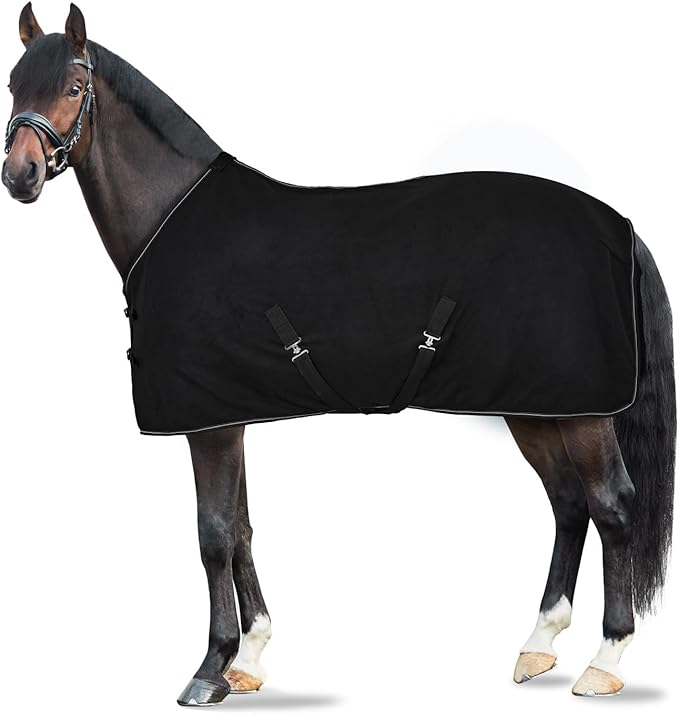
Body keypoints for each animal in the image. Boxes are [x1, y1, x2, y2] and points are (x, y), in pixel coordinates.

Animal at [3, 3, 675, 706]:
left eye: (73, 88)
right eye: (14, 86)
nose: (19, 175)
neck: (172, 218)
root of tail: (621, 228)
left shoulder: (208, 424)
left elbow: (213, 534)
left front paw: (210, 668)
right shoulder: (231, 413)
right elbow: (242, 527)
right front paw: (250, 658)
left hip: (582, 412)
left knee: (613, 507)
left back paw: (606, 660)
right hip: (535, 406)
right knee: (569, 504)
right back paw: (538, 645)